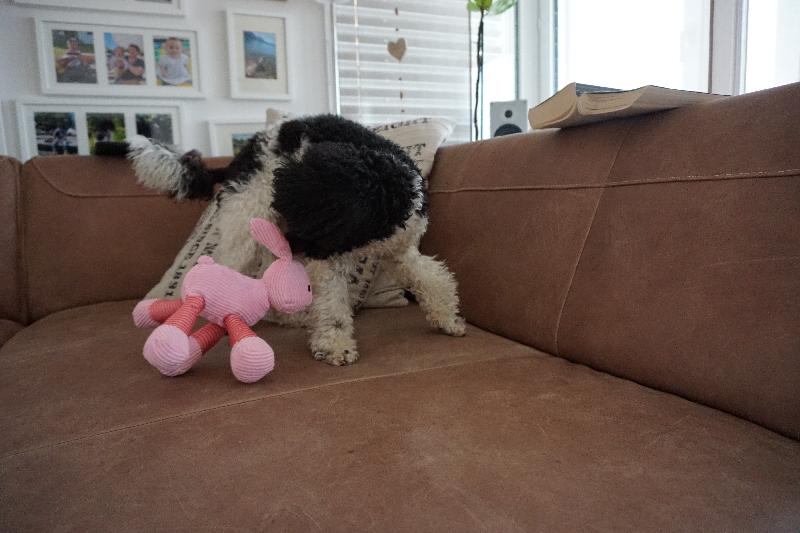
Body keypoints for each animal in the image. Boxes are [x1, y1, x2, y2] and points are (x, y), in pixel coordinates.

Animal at [125, 114, 465, 366]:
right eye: (297, 207)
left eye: (312, 213)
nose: (296, 243)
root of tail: (241, 157)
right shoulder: (327, 258)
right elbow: (333, 305)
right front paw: (335, 345)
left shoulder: (402, 248)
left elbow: (433, 278)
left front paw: (448, 318)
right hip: (246, 223)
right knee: (224, 270)